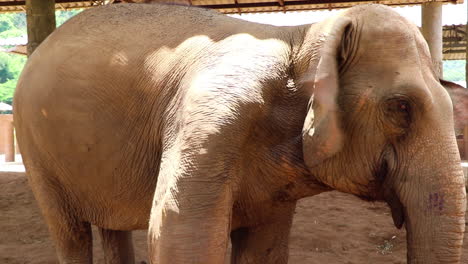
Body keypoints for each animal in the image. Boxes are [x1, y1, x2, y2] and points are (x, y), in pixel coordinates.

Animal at [13, 2, 464, 264]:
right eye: (400, 107)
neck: (303, 36)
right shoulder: (210, 120)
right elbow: (180, 234)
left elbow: (264, 244)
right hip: (35, 146)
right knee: (70, 234)